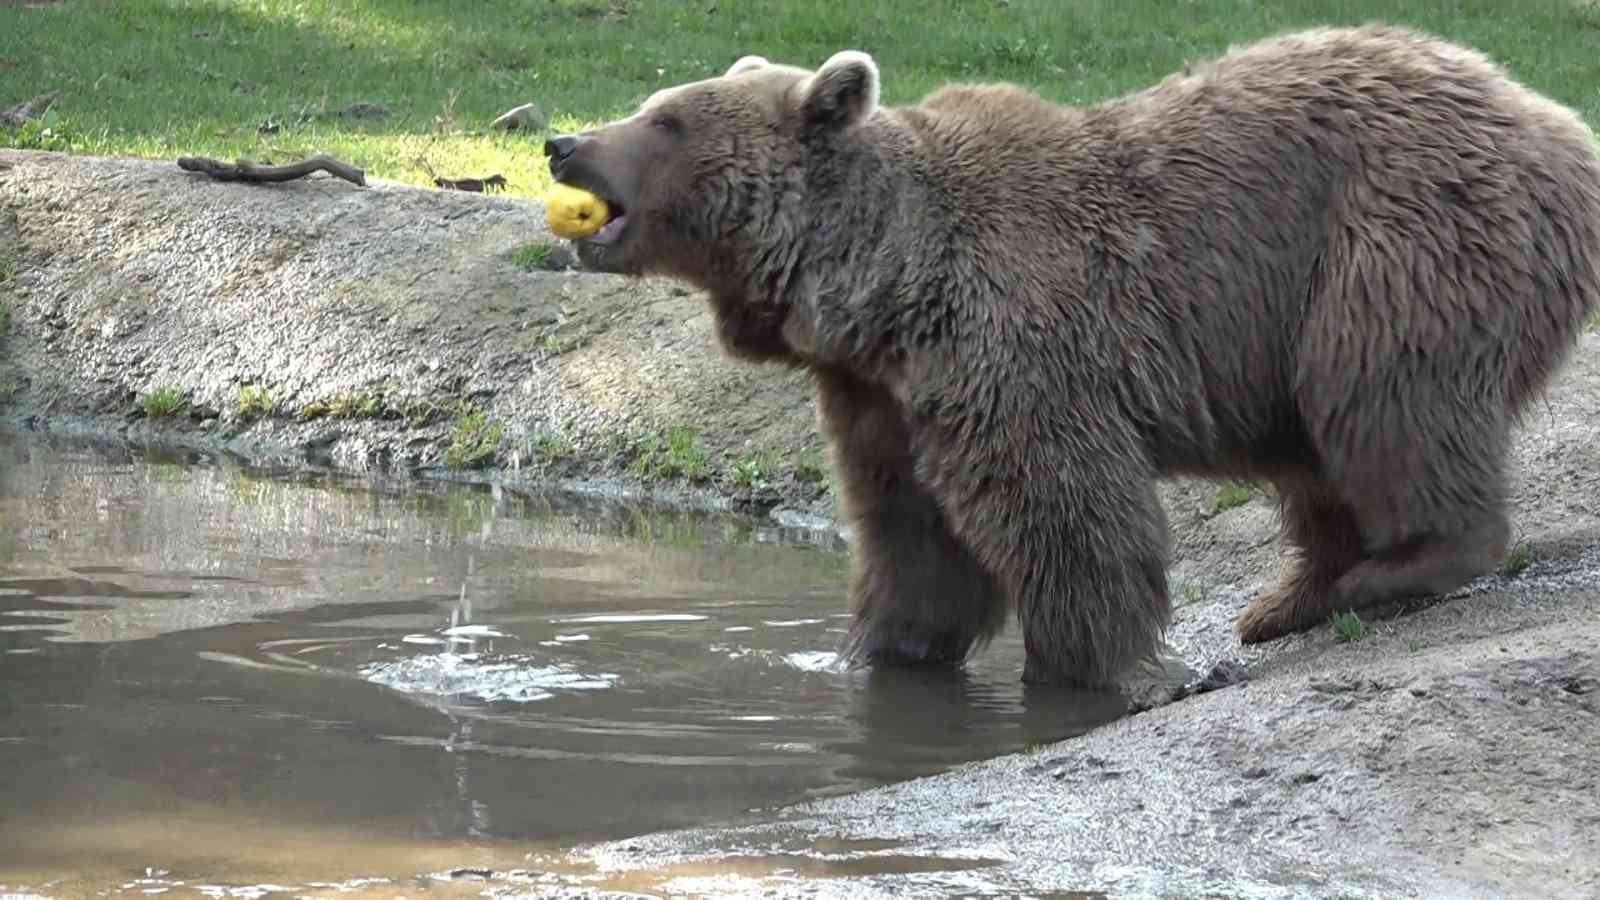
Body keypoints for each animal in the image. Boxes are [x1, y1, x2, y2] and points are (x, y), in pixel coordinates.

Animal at [540, 26, 1600, 685]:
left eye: (667, 118)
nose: (562, 141)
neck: (881, 284)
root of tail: (1555, 122)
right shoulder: (879, 391)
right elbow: (911, 531)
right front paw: (878, 649)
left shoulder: (1011, 337)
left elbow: (1062, 503)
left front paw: (1109, 665)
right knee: (1320, 451)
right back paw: (1287, 599)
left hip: (1389, 238)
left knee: (1383, 400)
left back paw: (1397, 568)